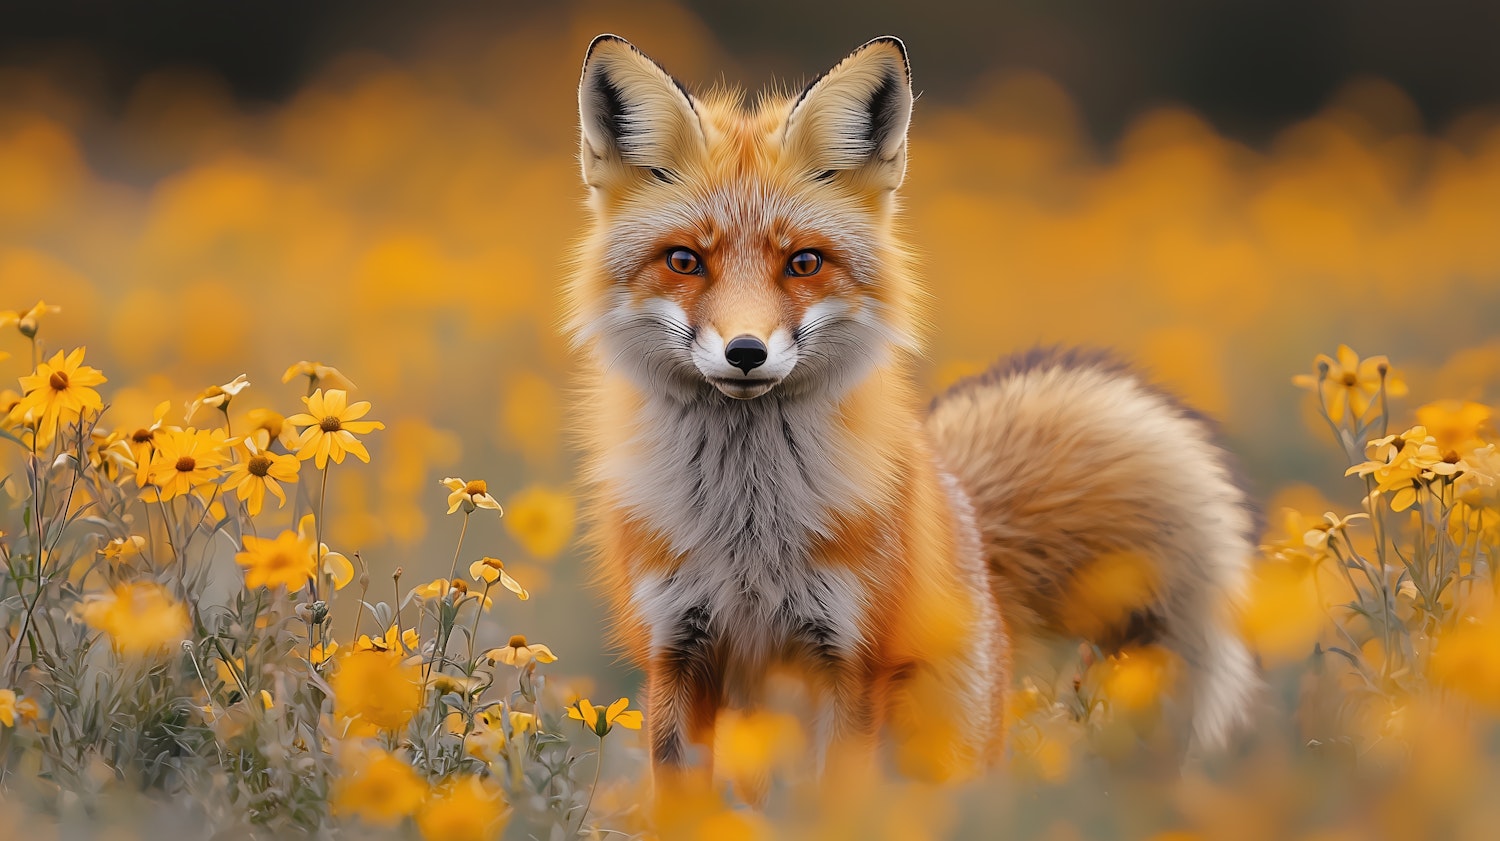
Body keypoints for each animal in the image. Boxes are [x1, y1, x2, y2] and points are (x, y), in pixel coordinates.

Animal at [567, 32, 1260, 779]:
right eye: (685, 261)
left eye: (804, 263)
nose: (745, 352)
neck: (747, 528)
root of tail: (971, 527)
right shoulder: (675, 650)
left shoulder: (851, 657)